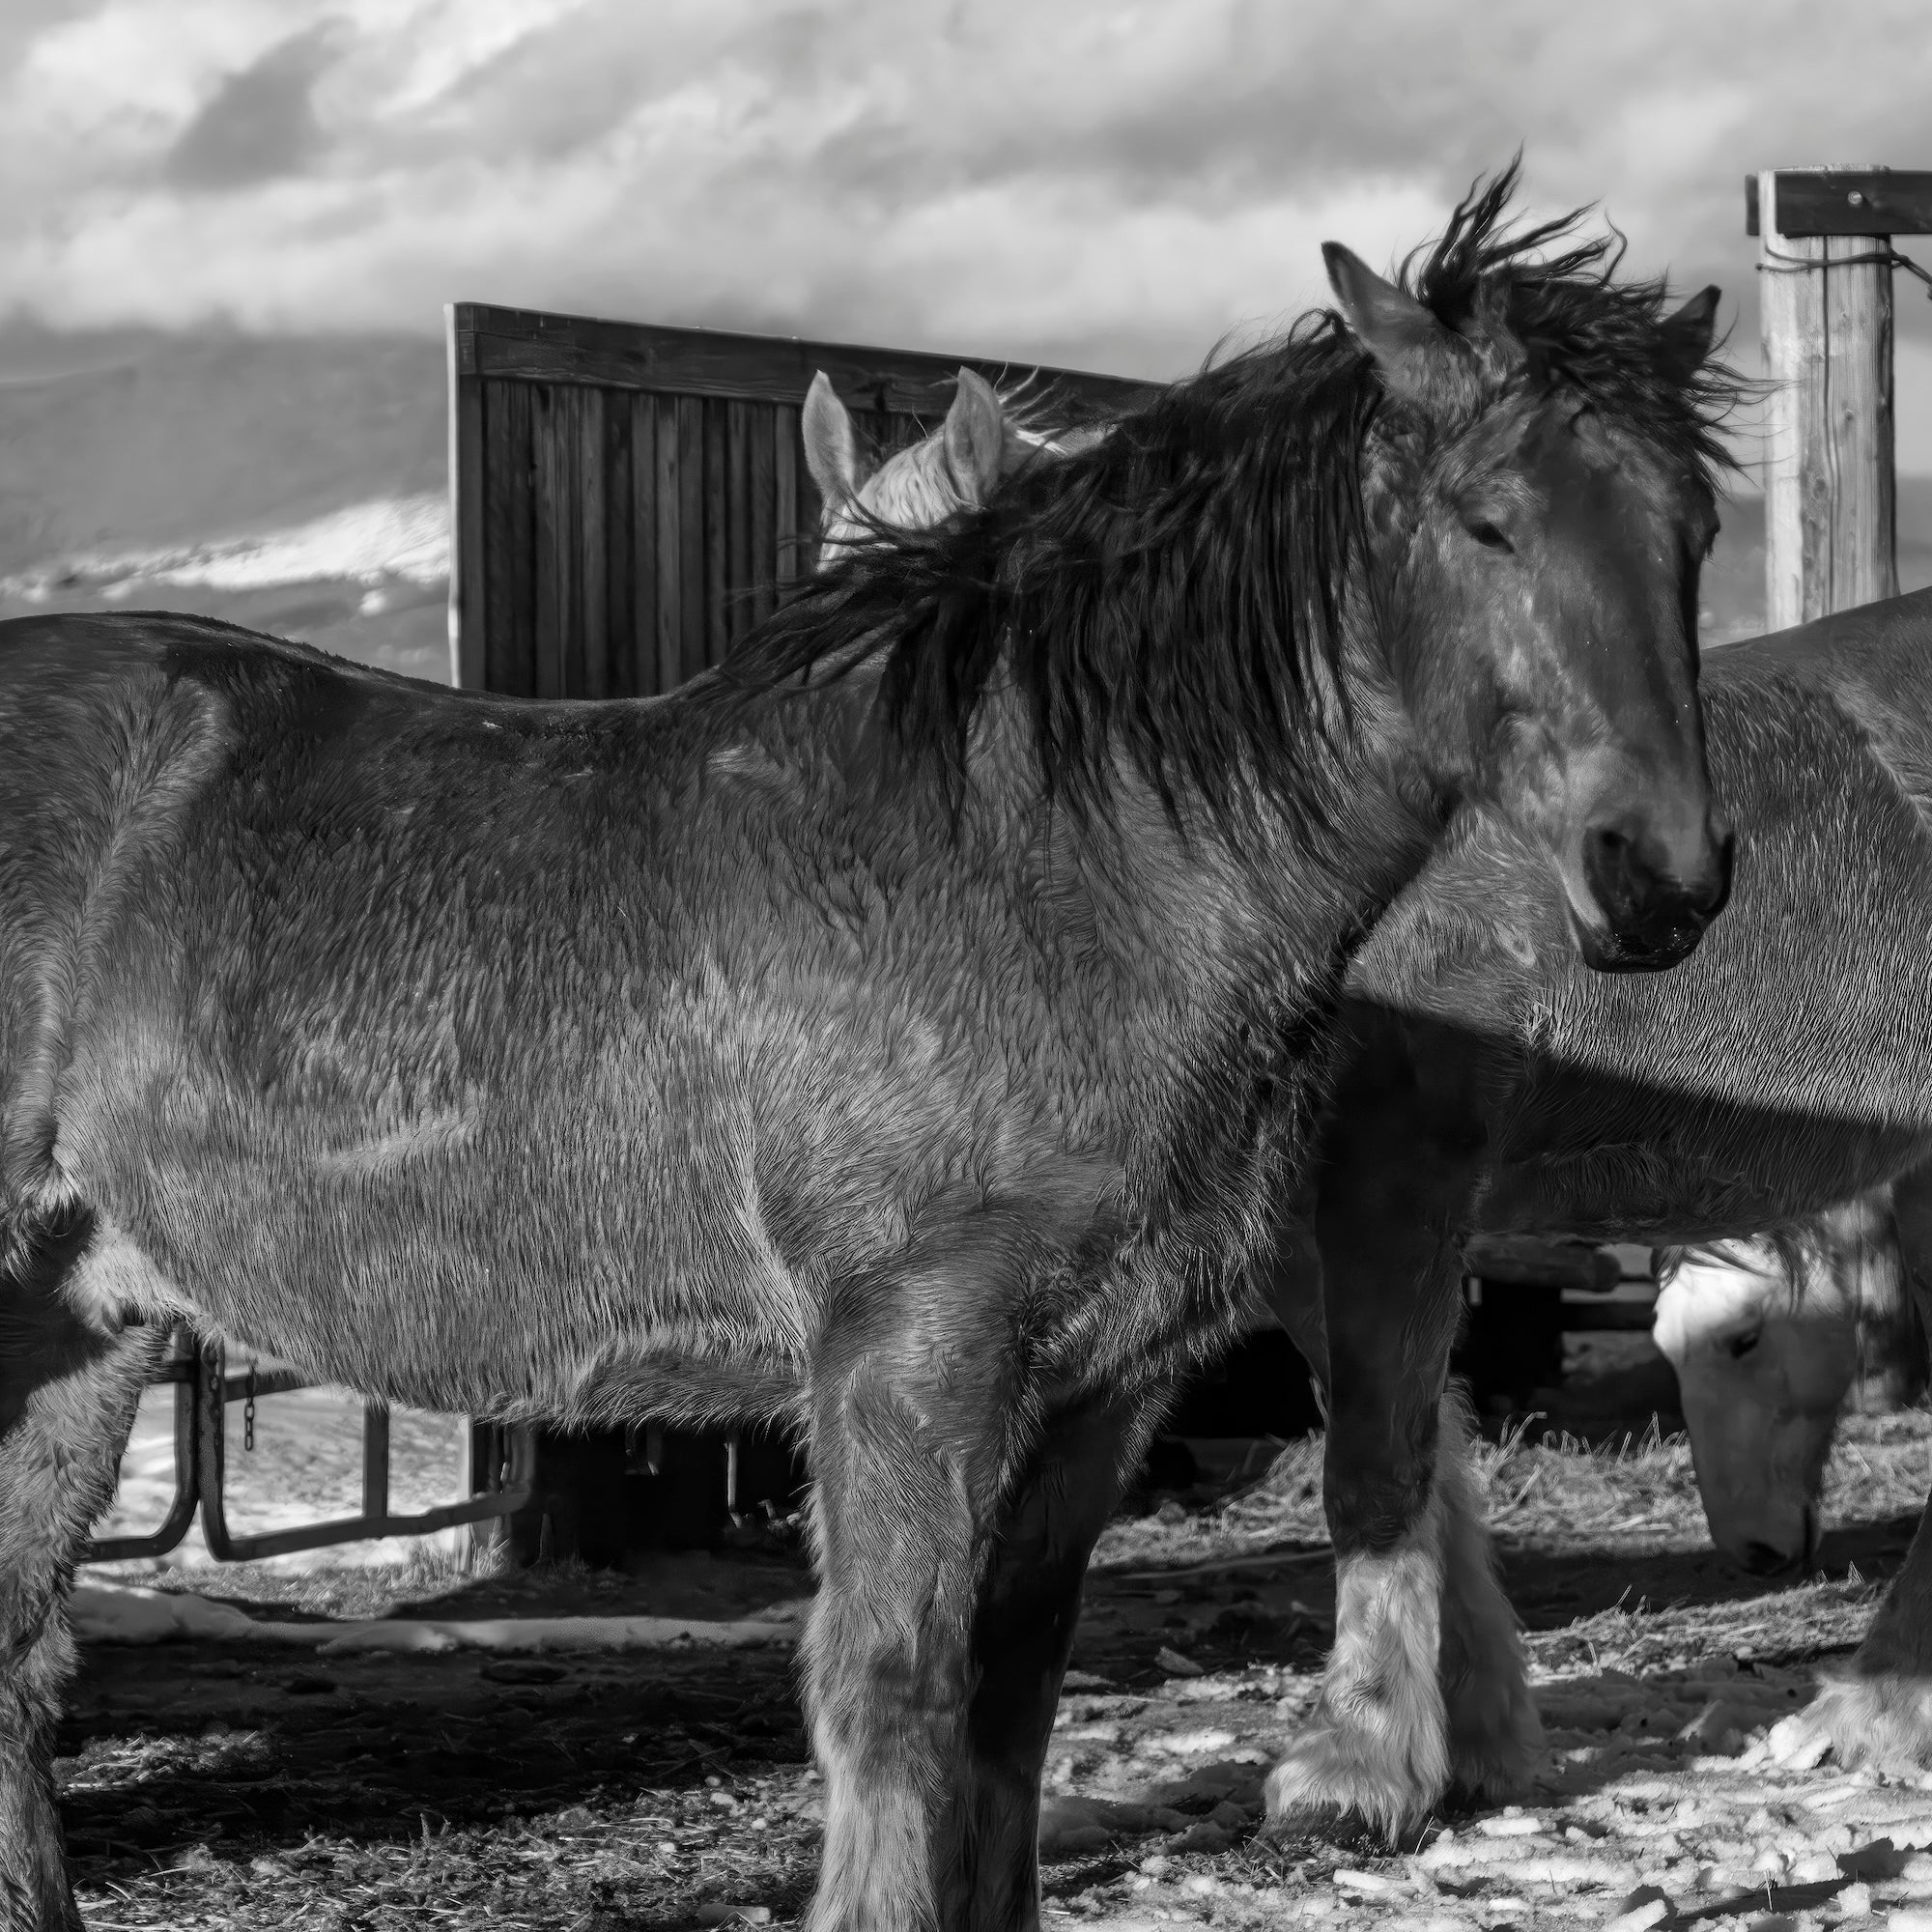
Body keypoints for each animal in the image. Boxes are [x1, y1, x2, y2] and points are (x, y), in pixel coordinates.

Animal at [0, 171, 1735, 1932]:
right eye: (1488, 521)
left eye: (1694, 533)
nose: (1660, 877)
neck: (1044, 862)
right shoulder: (908, 1363)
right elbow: (896, 1695)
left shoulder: (1101, 1387)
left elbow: (1011, 1701)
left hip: (74, 1329)